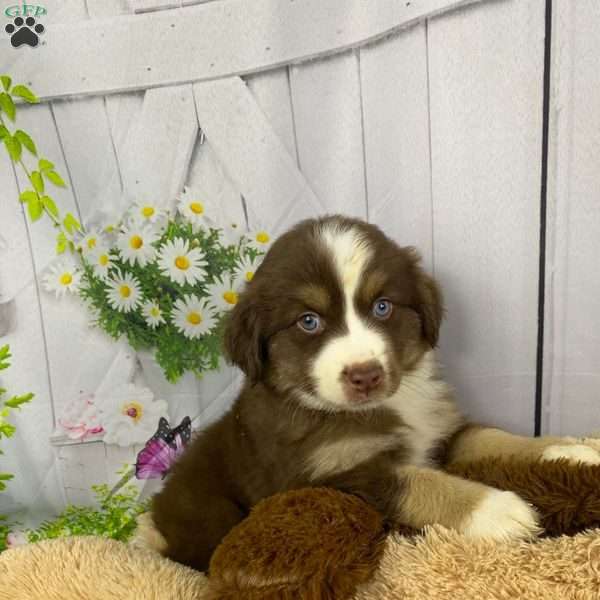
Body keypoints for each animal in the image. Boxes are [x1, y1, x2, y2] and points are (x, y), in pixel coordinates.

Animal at [151, 216, 600, 572]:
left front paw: (571, 451)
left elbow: (494, 437)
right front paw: (498, 510)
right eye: (309, 321)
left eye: (382, 307)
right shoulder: (339, 475)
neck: (386, 407)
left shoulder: (441, 431)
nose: (364, 375)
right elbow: (420, 483)